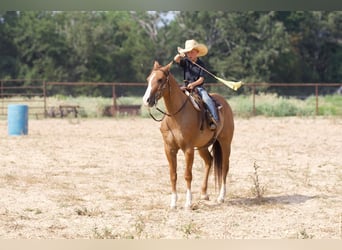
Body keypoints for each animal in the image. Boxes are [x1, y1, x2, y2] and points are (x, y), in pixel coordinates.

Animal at [142, 60, 235, 209]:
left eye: (160, 79)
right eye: (148, 79)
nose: (147, 100)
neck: (176, 115)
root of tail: (224, 103)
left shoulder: (188, 149)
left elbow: (187, 175)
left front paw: (188, 202)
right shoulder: (169, 149)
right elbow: (173, 175)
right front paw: (173, 203)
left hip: (225, 142)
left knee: (225, 166)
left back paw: (221, 197)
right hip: (203, 146)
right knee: (209, 161)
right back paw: (204, 193)